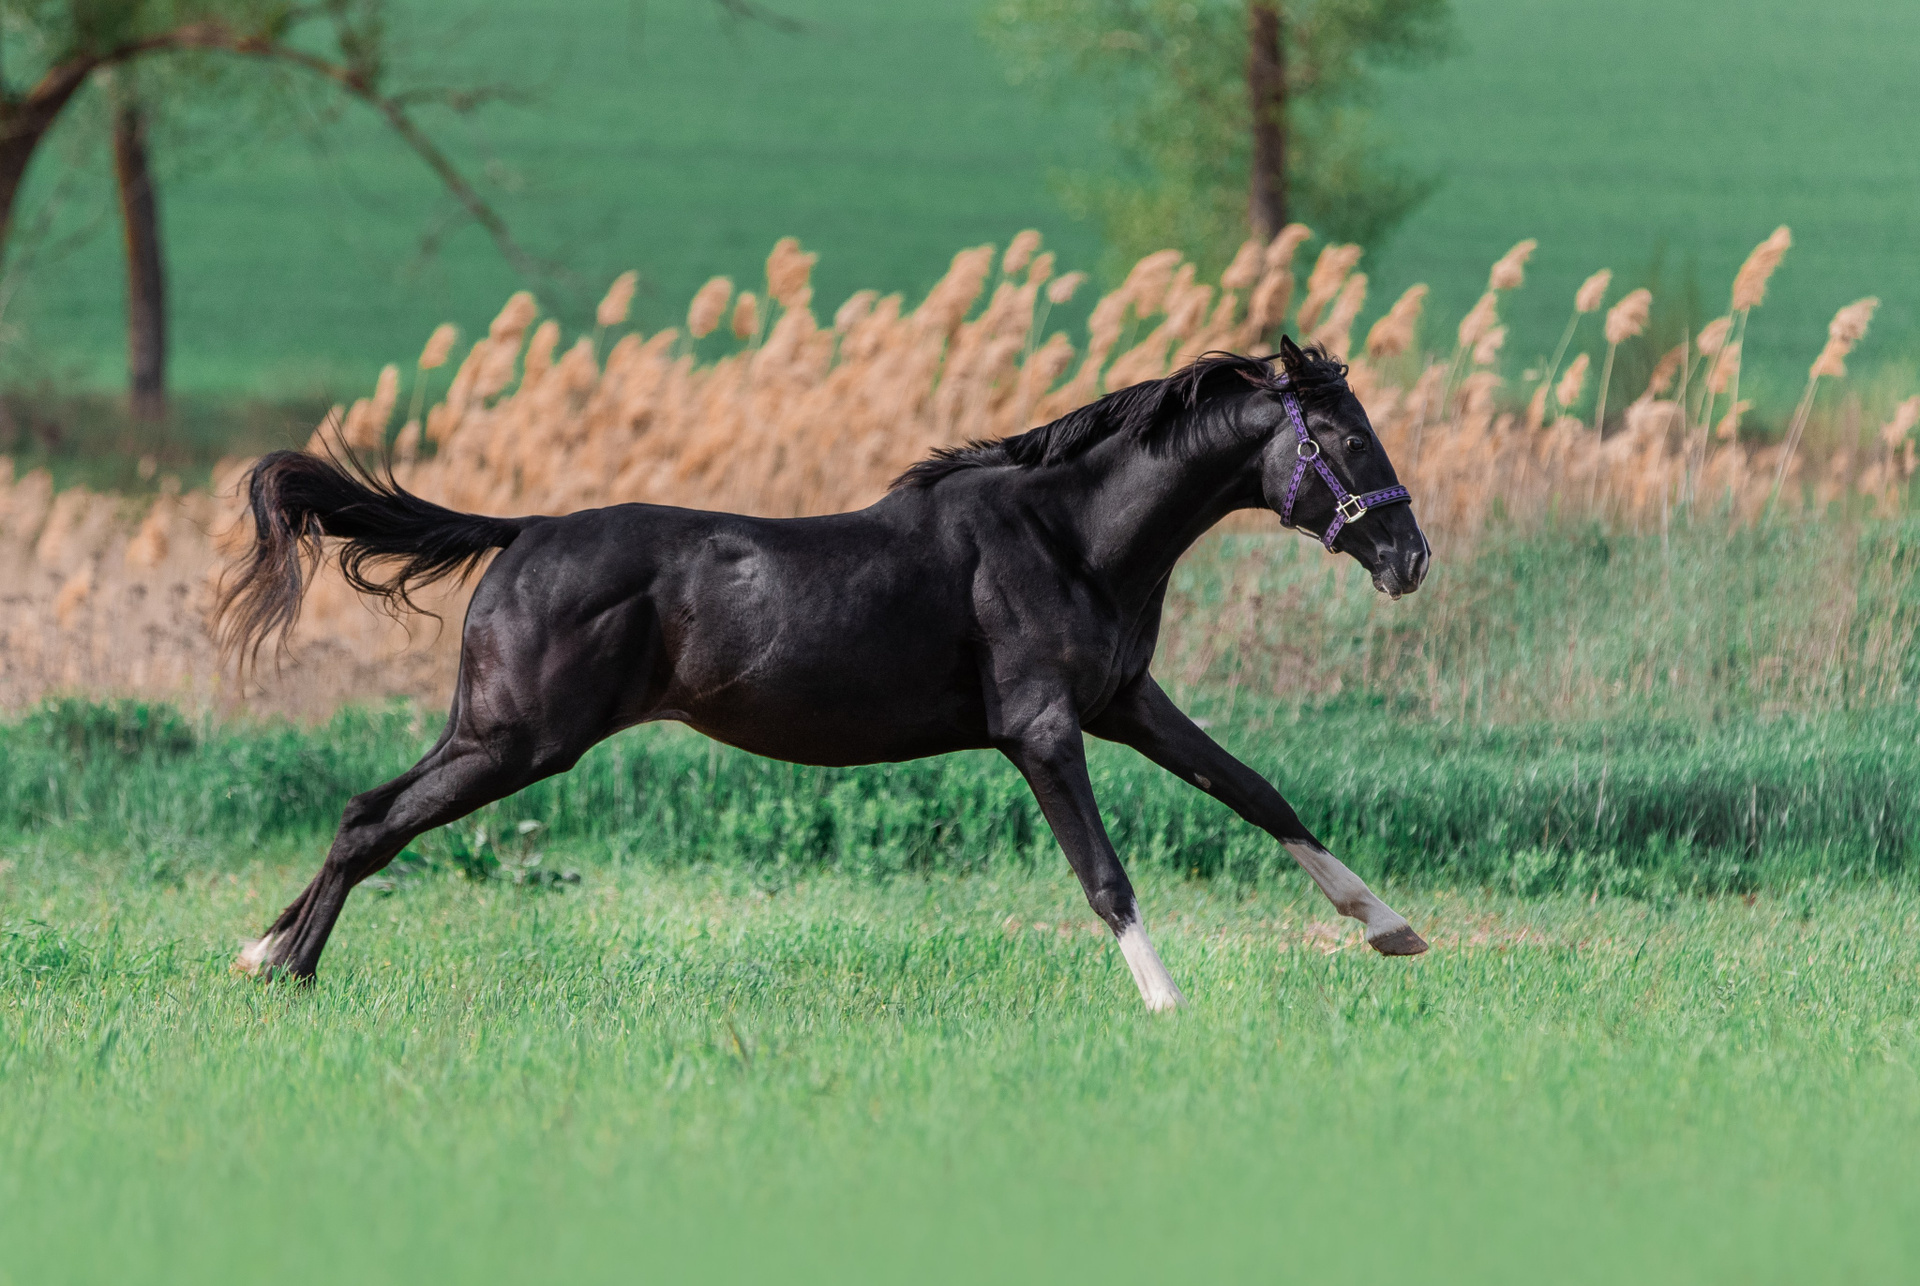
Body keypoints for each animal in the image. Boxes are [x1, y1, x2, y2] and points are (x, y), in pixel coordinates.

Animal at [218, 337, 1430, 1010]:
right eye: (1345, 439)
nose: (1410, 557)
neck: (1071, 538)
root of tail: (523, 532)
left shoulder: (1127, 704)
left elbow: (1259, 792)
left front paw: (1392, 929)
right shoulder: (1041, 729)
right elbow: (1106, 873)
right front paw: (1168, 1002)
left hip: (486, 732)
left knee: (365, 810)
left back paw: (259, 950)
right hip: (516, 739)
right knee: (375, 821)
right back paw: (288, 971)